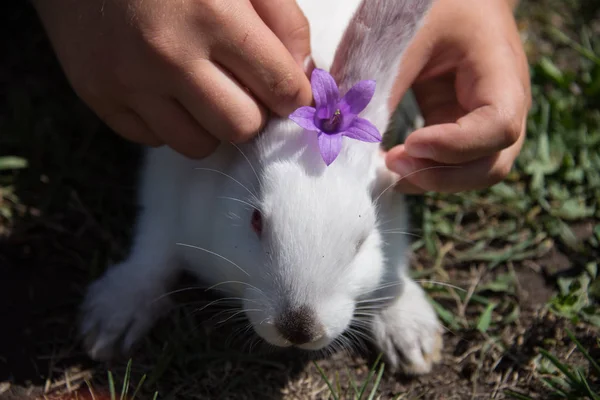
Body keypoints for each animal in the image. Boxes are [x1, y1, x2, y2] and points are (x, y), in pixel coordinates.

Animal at [81, 0, 440, 376]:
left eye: (362, 242)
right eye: (255, 220)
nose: (298, 329)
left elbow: (391, 268)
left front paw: (411, 337)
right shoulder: (167, 182)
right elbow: (153, 250)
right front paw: (110, 323)